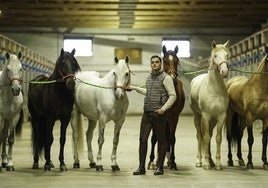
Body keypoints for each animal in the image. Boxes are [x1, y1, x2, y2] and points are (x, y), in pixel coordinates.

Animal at [188, 40, 230, 170]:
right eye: (215, 56)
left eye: (226, 55)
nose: (224, 72)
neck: (214, 89)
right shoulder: (205, 116)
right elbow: (205, 138)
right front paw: (206, 164)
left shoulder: (221, 117)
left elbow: (217, 138)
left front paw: (217, 164)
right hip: (198, 117)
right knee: (200, 136)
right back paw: (199, 161)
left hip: (212, 121)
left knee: (210, 136)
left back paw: (211, 161)